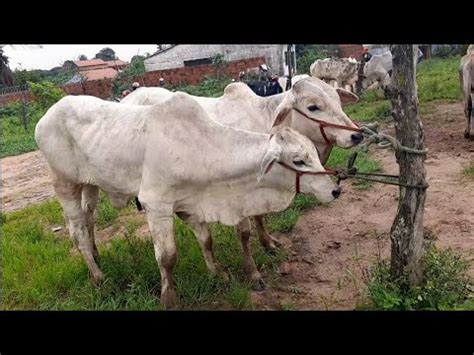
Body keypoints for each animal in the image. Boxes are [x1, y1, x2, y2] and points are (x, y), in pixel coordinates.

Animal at [36, 93, 340, 308]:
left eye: (313, 154)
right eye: (298, 160)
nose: (335, 190)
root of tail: (48, 115)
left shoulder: (189, 203)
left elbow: (206, 240)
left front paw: (218, 273)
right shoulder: (156, 205)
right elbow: (167, 256)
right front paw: (168, 299)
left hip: (91, 185)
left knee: (89, 219)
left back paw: (97, 255)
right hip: (64, 185)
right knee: (76, 231)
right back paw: (98, 276)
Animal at [123, 78, 362, 256]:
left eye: (338, 102)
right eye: (313, 107)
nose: (356, 135)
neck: (264, 123)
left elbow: (260, 216)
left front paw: (268, 242)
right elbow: (245, 231)